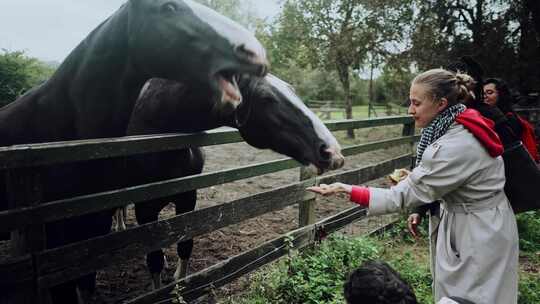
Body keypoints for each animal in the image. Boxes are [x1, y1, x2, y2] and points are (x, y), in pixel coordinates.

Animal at [124, 73, 344, 290]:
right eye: (265, 98)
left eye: (292, 89)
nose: (332, 151)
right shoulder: (144, 210)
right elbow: (154, 262)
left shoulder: (187, 199)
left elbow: (184, 246)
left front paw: (180, 284)